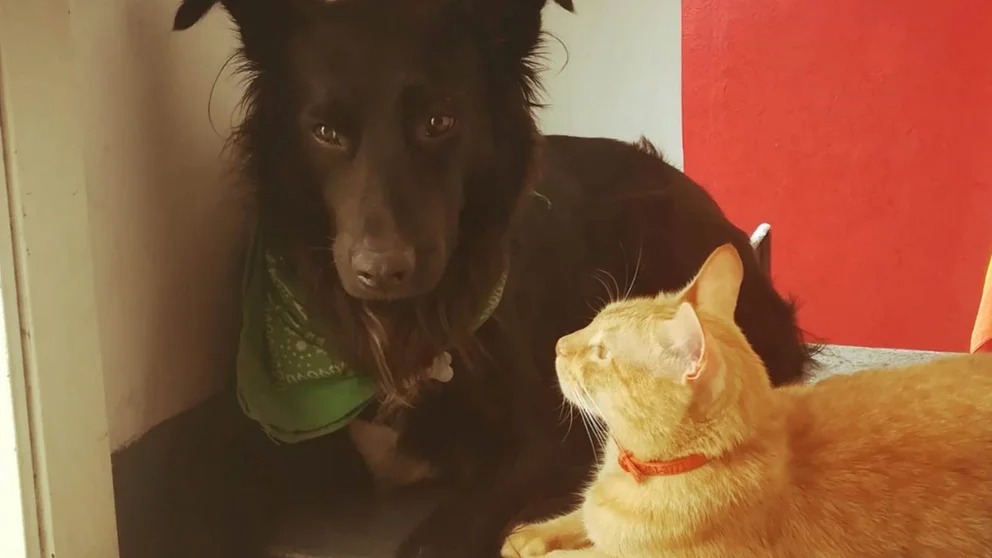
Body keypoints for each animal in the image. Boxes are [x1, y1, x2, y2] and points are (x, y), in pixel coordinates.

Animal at [501, 243, 992, 558]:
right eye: (593, 322)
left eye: (603, 352)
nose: (559, 344)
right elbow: (575, 519)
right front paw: (531, 535)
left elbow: (582, 553)